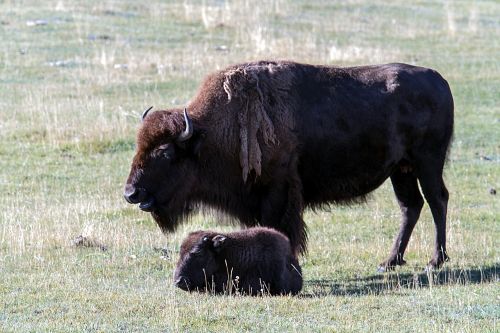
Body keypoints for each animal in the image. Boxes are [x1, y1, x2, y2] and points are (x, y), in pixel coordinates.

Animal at [124, 60, 454, 270]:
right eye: (139, 147)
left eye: (165, 153)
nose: (131, 193)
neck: (212, 132)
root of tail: (440, 79)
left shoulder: (278, 192)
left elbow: (280, 229)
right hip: (401, 170)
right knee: (411, 206)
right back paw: (390, 262)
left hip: (427, 162)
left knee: (437, 200)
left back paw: (435, 261)